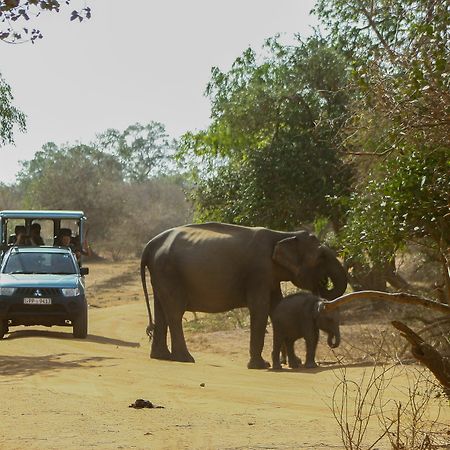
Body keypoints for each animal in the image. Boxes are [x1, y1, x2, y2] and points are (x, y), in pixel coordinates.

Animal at [141, 222, 348, 370]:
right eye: (321, 257)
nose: (322, 285)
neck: (284, 234)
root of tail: (150, 245)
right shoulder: (258, 271)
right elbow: (260, 308)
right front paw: (261, 366)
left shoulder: (270, 276)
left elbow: (276, 306)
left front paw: (292, 363)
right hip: (168, 272)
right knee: (174, 313)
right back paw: (185, 359)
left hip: (160, 274)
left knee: (162, 311)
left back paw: (161, 356)